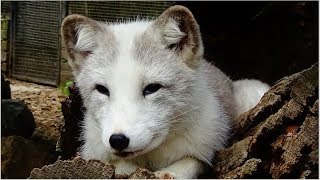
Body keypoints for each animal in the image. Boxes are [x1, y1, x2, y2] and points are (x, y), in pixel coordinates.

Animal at [61, 5, 268, 179]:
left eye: (152, 88)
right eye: (102, 90)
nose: (118, 140)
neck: (153, 156)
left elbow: (190, 163)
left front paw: (167, 173)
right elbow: (120, 165)